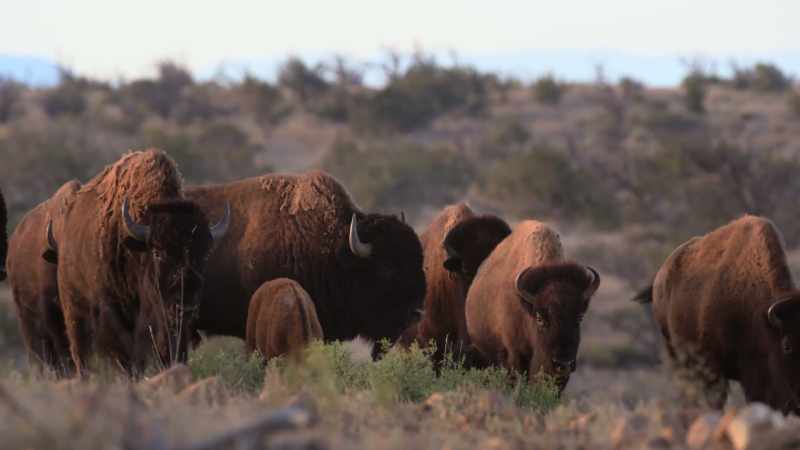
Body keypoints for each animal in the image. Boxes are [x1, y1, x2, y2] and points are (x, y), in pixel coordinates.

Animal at [56, 150, 229, 376]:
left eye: (205, 255)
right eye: (157, 252)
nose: (186, 304)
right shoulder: (115, 313)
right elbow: (127, 355)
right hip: (76, 312)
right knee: (81, 353)